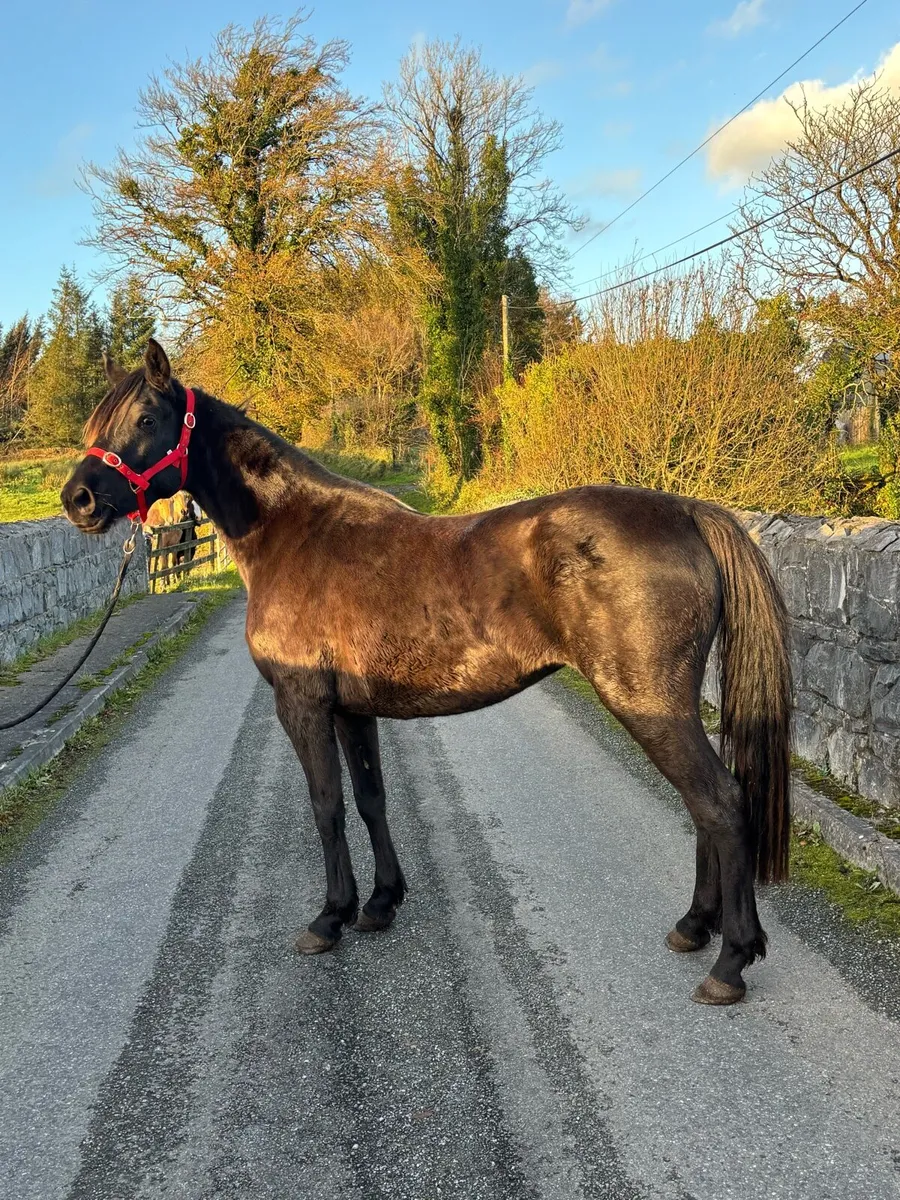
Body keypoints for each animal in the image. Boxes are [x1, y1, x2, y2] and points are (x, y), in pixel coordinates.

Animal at [62, 340, 792, 1006]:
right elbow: (370, 799)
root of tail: (686, 511)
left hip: (647, 703)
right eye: (97, 423)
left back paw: (730, 962)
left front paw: (329, 917)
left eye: (146, 418)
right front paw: (381, 903)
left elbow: (326, 805)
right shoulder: (352, 709)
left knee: (720, 803)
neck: (295, 533)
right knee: (703, 808)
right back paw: (693, 927)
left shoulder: (301, 705)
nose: (78, 499)